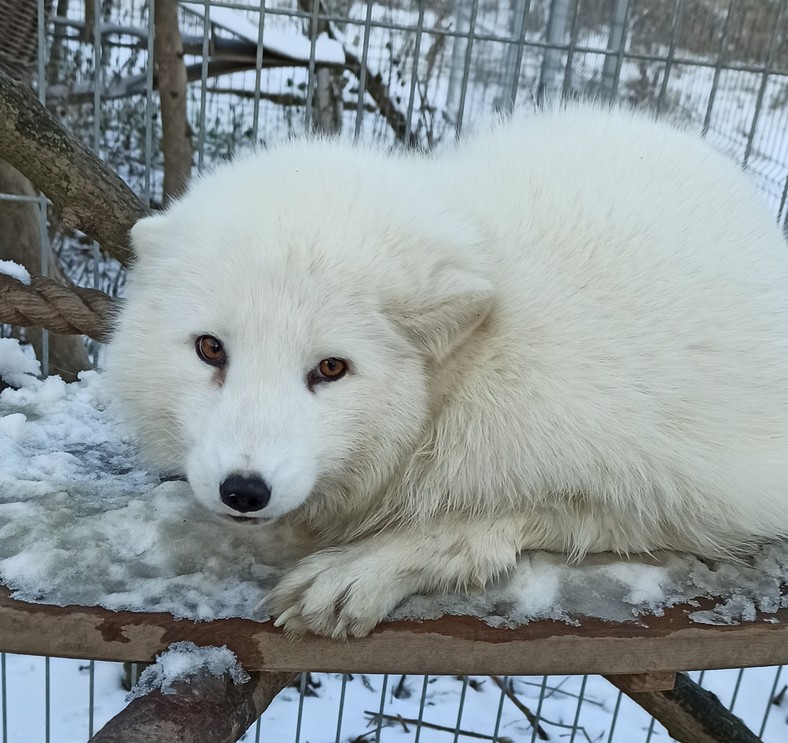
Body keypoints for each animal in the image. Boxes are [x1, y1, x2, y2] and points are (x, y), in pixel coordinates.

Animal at [106, 106, 788, 640]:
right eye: (210, 349)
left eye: (331, 367)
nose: (244, 490)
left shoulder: (684, 492)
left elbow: (492, 521)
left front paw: (361, 567)